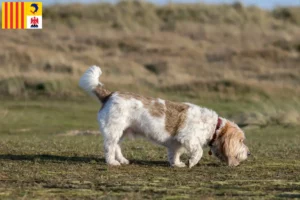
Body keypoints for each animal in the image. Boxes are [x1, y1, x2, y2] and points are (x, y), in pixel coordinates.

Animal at [78, 66, 250, 168]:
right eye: (241, 141)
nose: (249, 153)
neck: (214, 127)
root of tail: (109, 94)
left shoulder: (176, 143)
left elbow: (175, 154)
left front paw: (177, 164)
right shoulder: (188, 138)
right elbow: (198, 151)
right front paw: (191, 162)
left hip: (121, 132)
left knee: (117, 147)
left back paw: (122, 160)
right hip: (113, 131)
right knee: (109, 147)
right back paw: (112, 162)